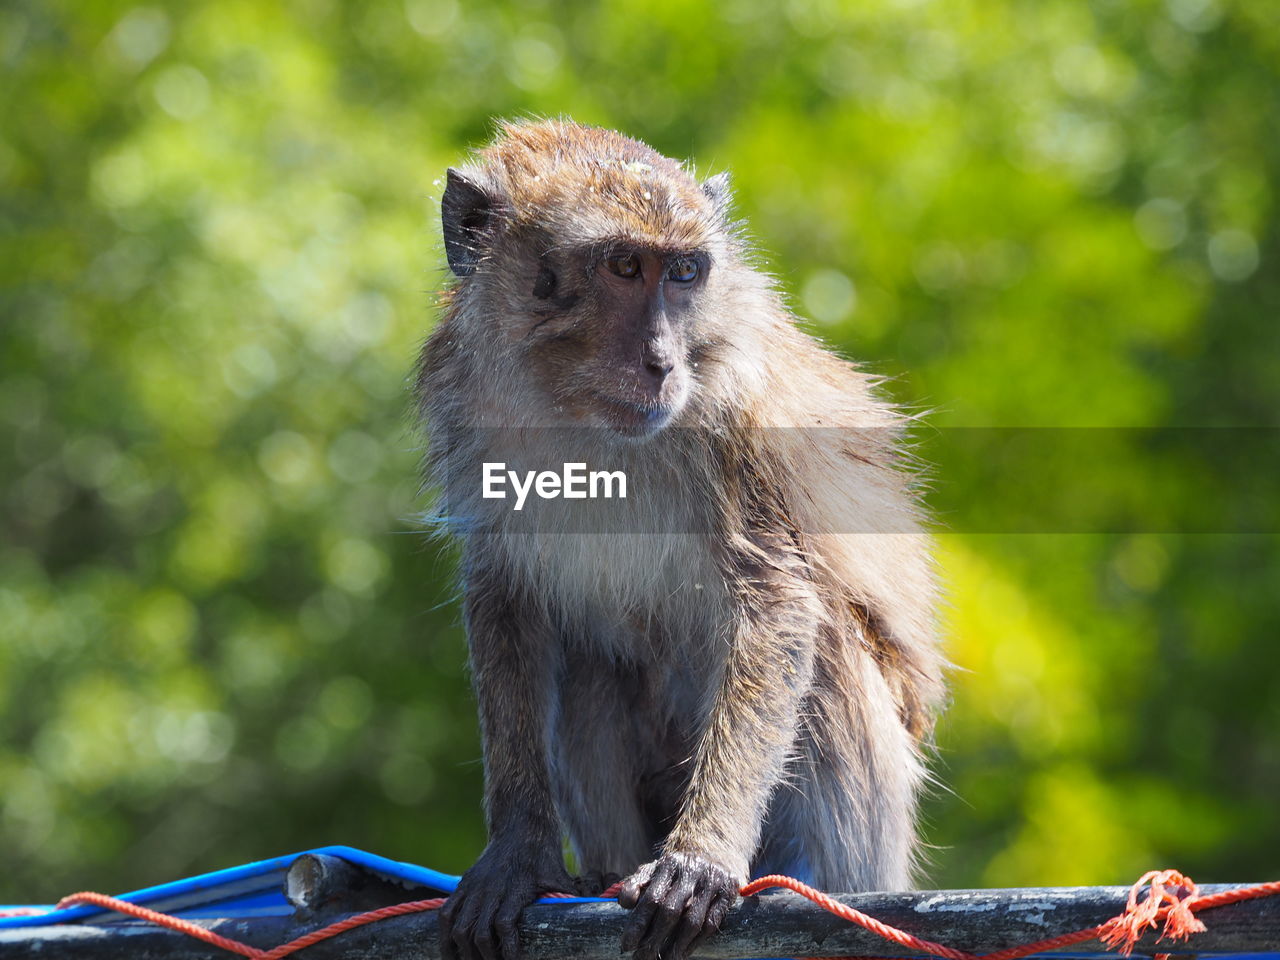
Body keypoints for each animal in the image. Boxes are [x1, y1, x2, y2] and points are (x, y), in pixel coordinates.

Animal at [414, 120, 947, 960]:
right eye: (625, 267)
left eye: (685, 273)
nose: (661, 362)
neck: (577, 414)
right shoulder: (469, 408)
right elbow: (508, 600)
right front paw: (519, 850)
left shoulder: (735, 422)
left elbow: (778, 600)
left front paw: (702, 856)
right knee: (589, 666)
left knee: (827, 645)